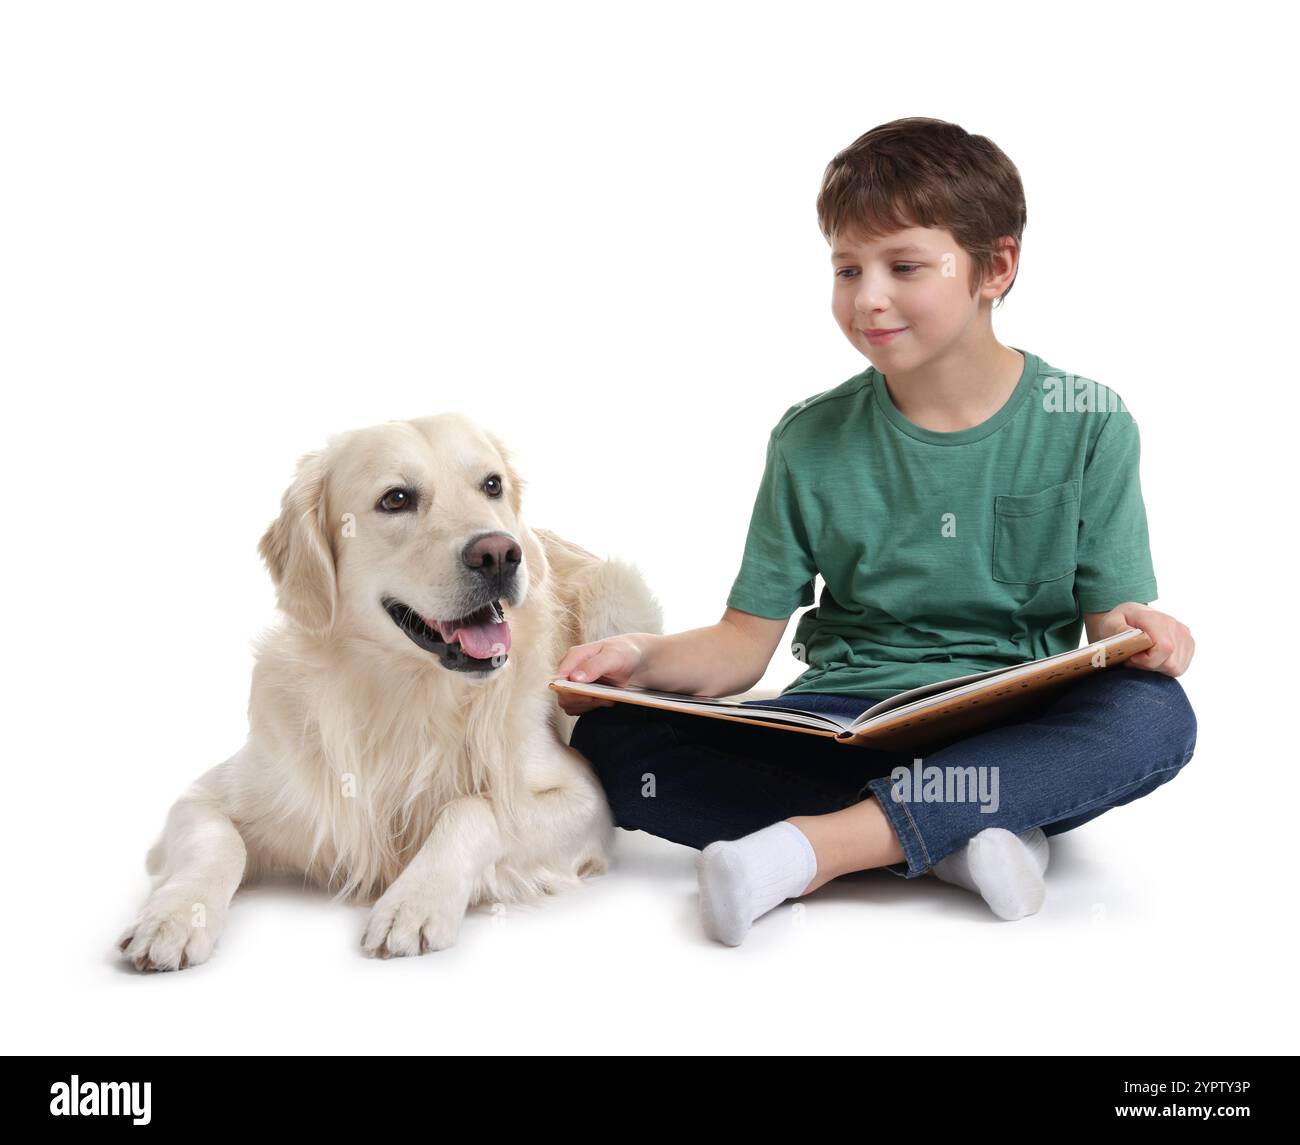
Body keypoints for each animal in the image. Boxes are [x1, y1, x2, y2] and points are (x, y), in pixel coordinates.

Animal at [118, 410, 665, 966]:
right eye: (396, 499)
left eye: (491, 485)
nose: (499, 553)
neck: (407, 692)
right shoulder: (205, 796)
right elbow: (217, 840)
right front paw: (175, 917)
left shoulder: (587, 800)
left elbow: (471, 807)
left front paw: (415, 903)